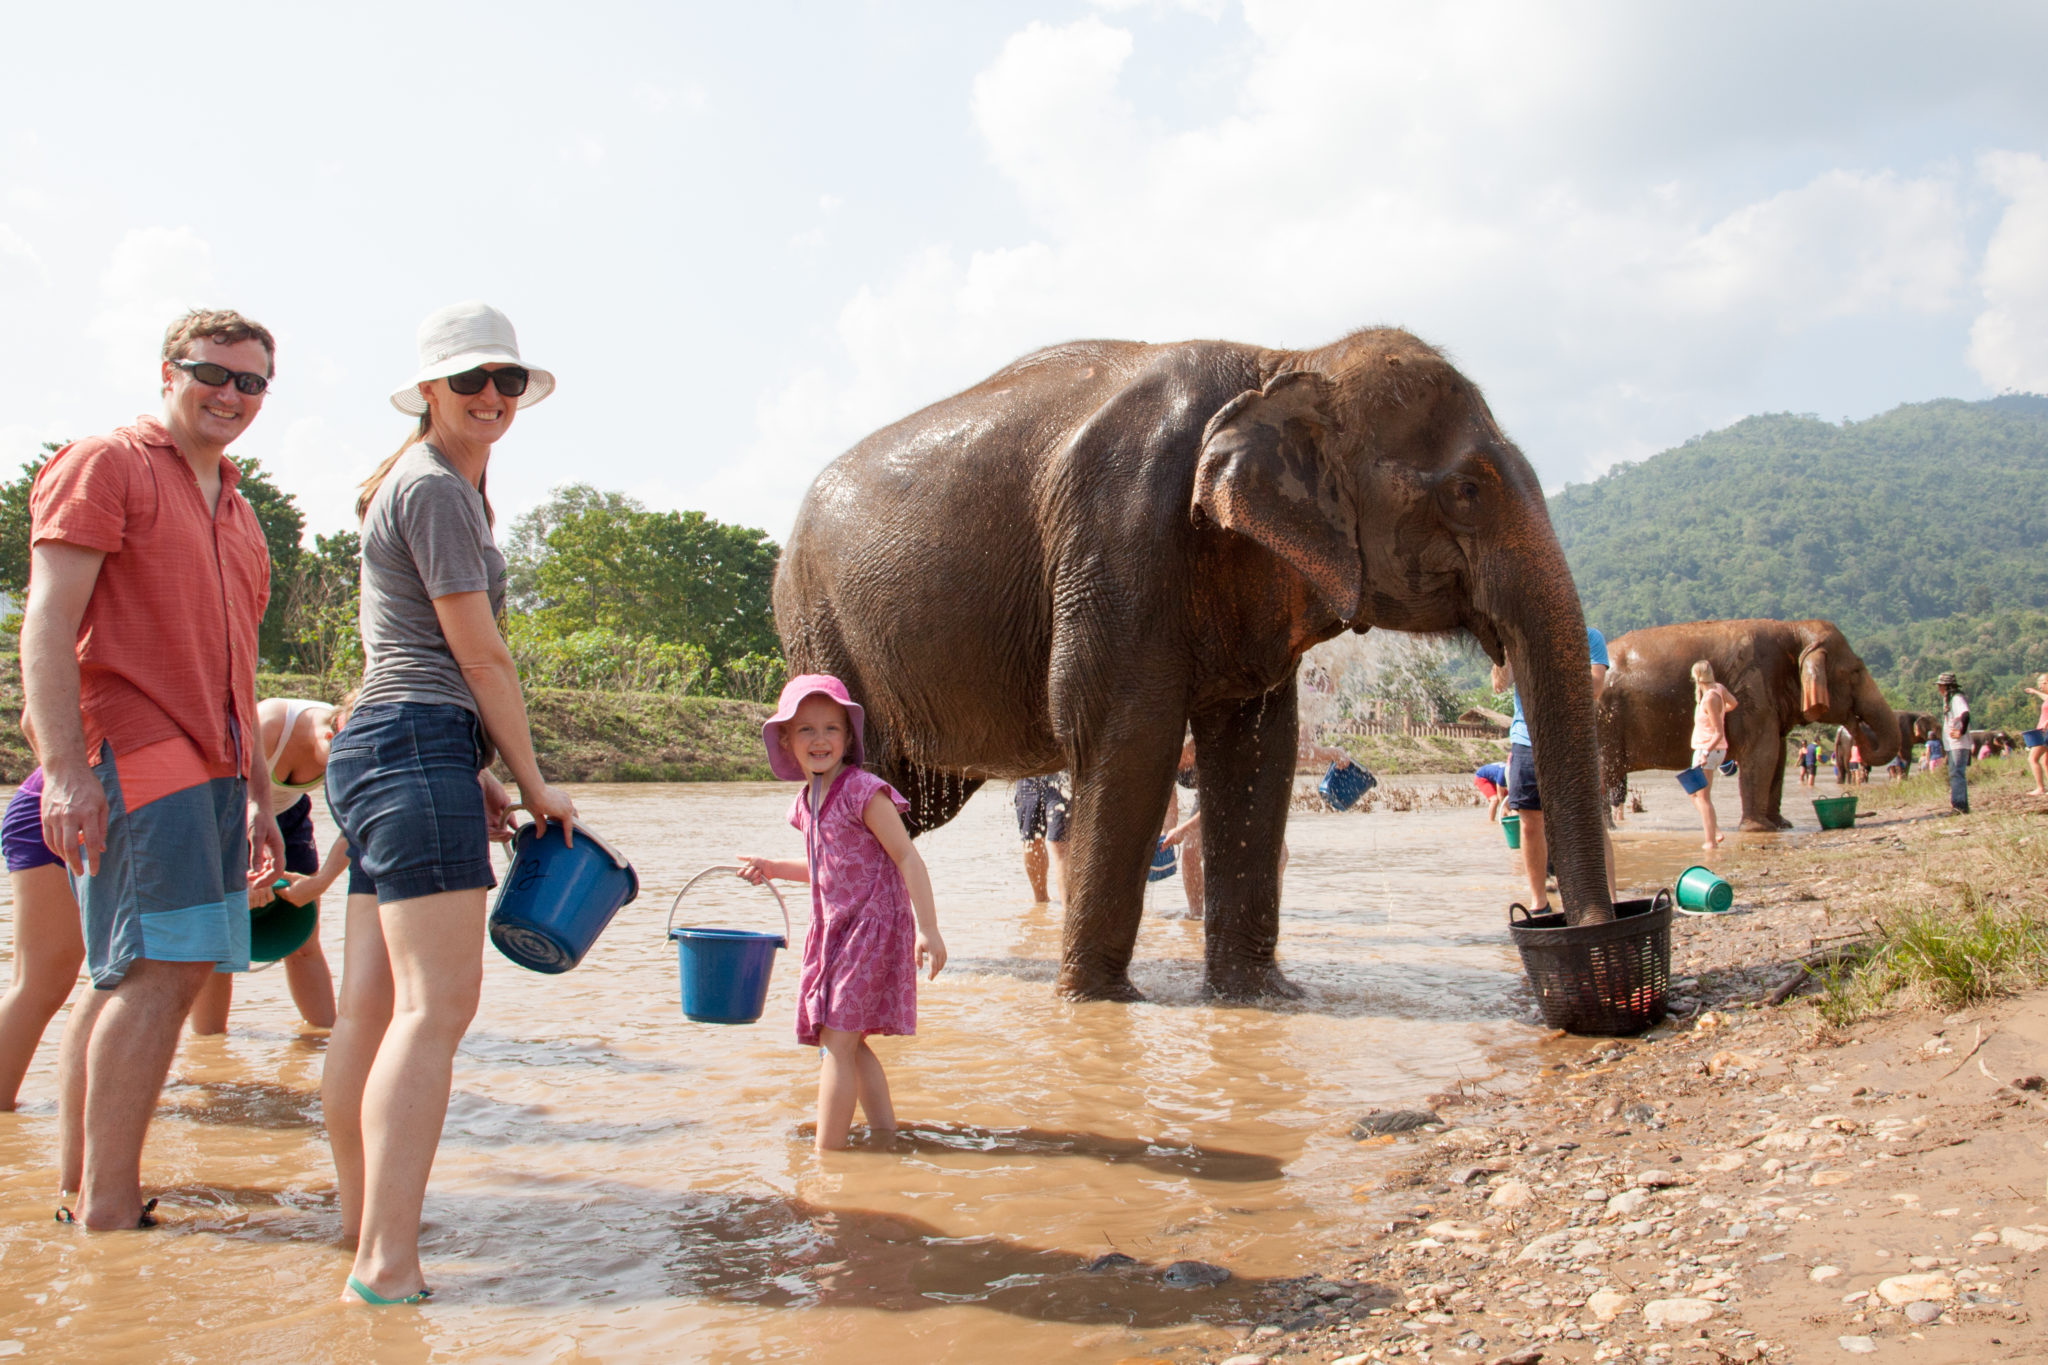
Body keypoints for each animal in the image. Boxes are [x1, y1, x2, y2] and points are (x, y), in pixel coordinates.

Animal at [778, 325, 1613, 998]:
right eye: (1469, 490)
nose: (1586, 929)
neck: (1286, 361)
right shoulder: (1121, 537)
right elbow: (1131, 737)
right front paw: (1097, 1005)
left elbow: (1258, 750)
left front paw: (1264, 999)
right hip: (820, 629)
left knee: (911, 801)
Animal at [1597, 622, 1900, 834]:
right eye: (1856, 672)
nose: (1854, 722)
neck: (1793, 629)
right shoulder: (1753, 690)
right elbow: (1762, 755)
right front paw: (1760, 830)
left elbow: (1777, 759)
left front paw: (1782, 825)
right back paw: (1610, 831)